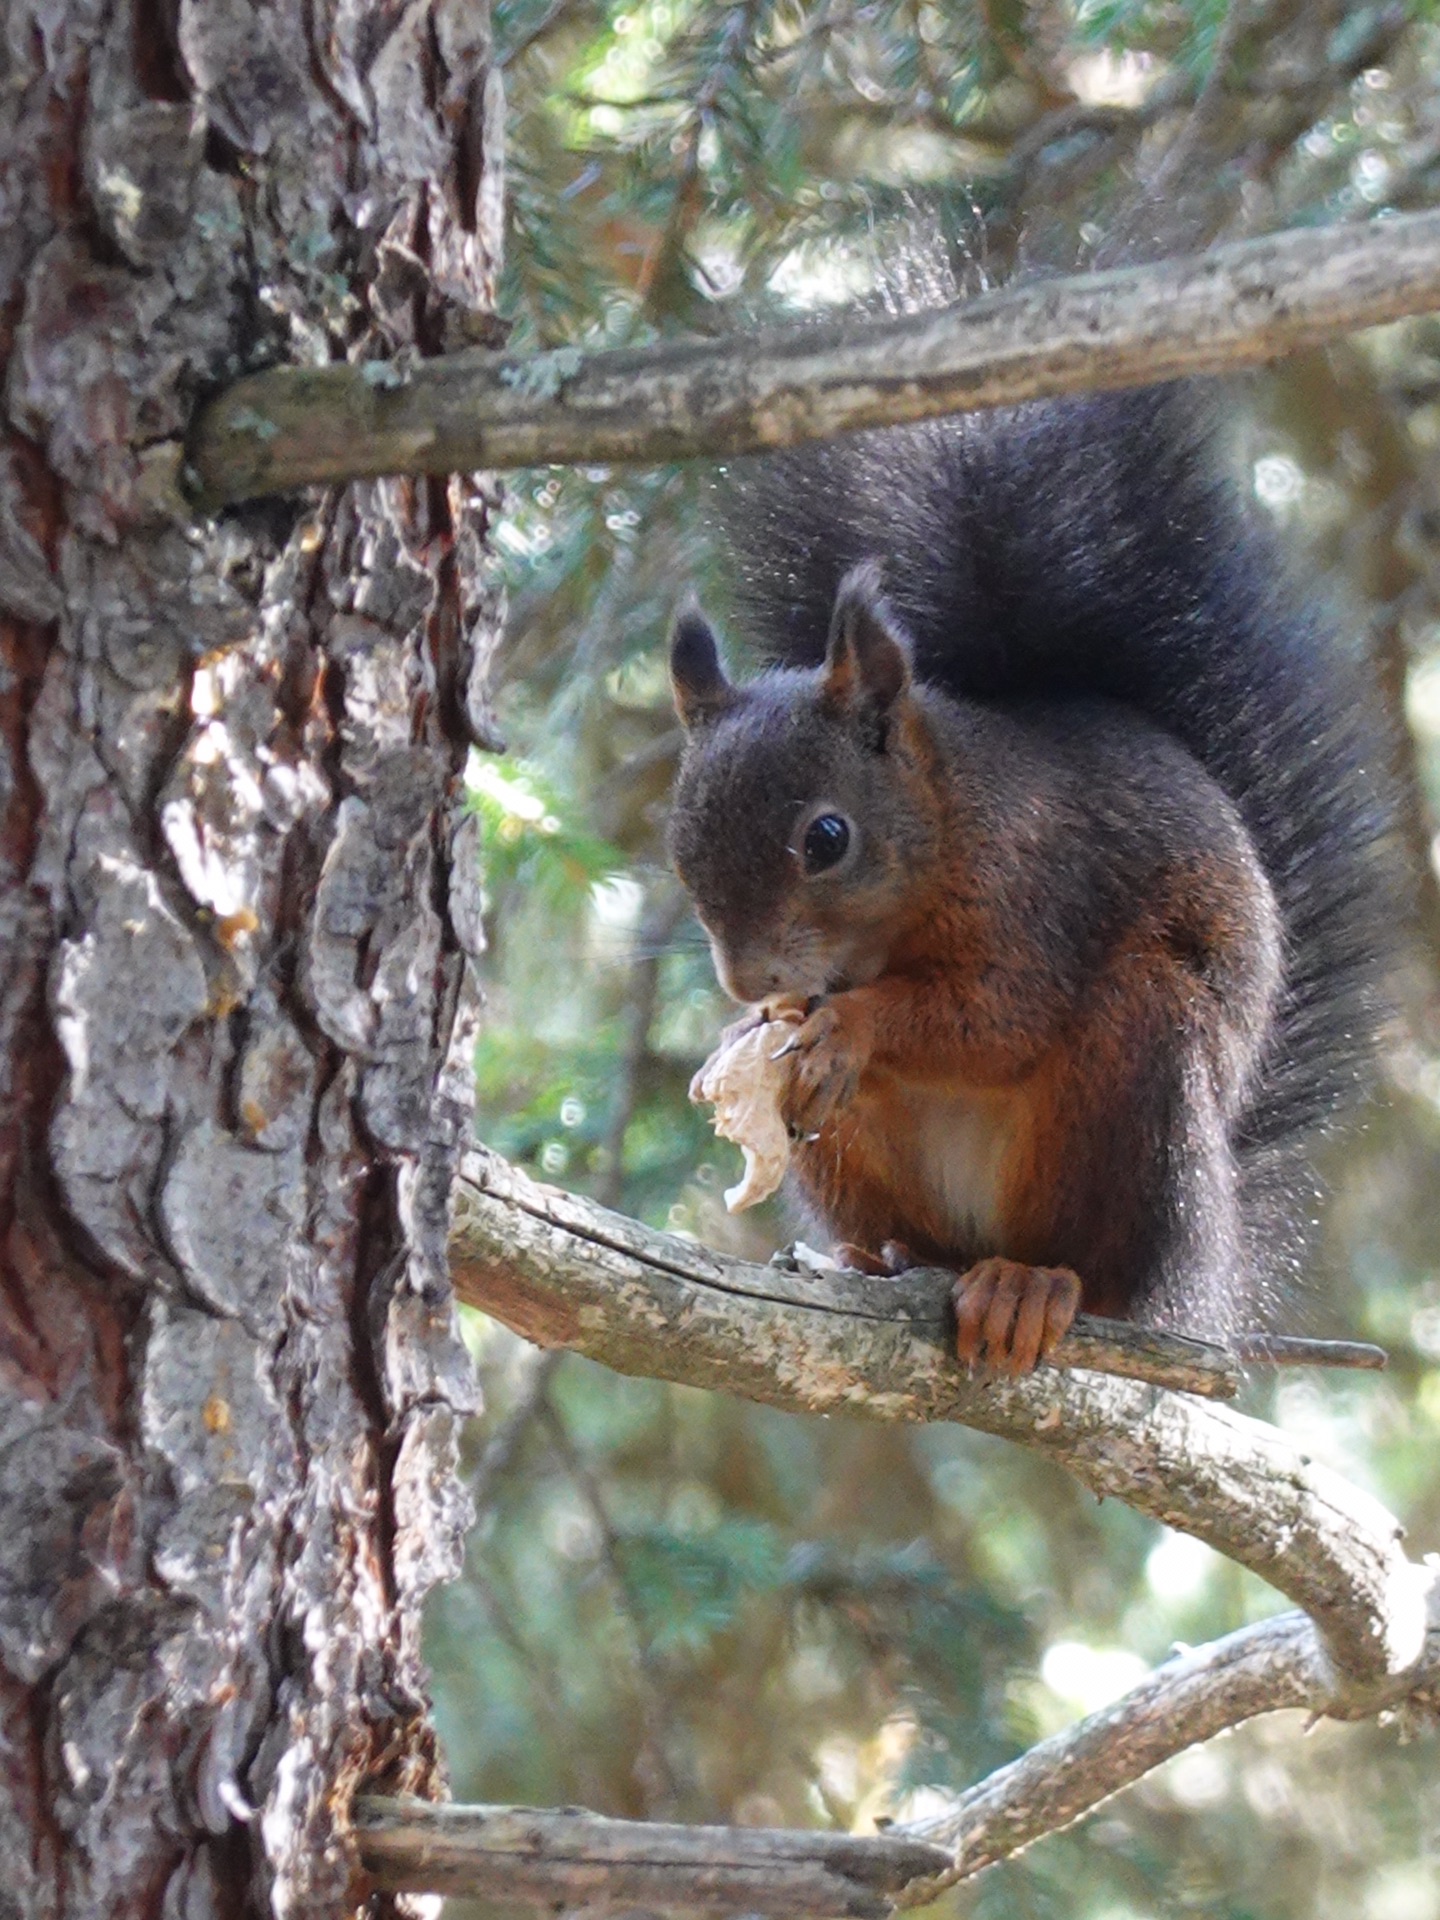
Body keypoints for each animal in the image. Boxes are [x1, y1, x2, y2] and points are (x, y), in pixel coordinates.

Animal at [672, 382, 1405, 1374]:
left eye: (827, 838)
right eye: (678, 845)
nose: (747, 980)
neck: (949, 825)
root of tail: (1204, 1275)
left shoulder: (1041, 888)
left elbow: (1000, 1016)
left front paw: (851, 1029)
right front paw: (754, 1029)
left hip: (1141, 1070)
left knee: (1104, 1273)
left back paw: (1035, 1287)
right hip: (856, 1158)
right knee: (924, 1243)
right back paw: (883, 1257)